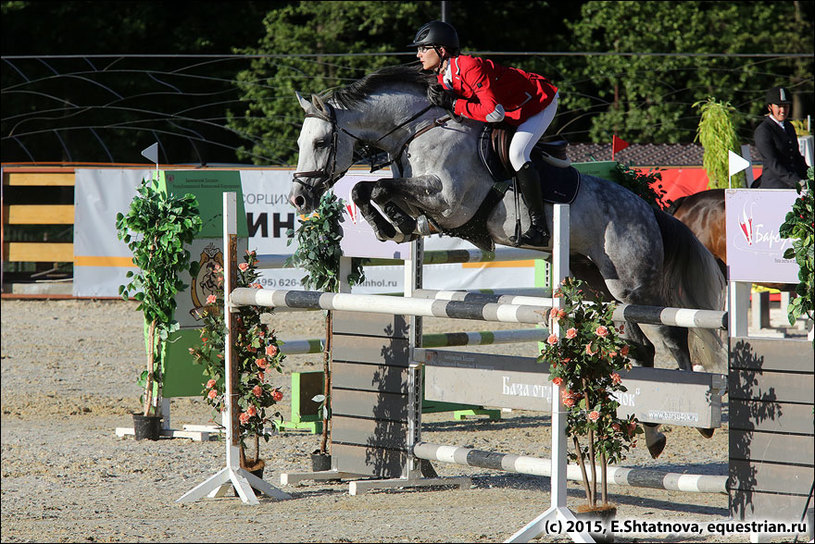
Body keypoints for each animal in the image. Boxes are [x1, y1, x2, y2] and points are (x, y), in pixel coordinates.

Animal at [288, 63, 728, 456]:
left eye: (321, 143)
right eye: (300, 144)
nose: (299, 199)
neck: (418, 131)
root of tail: (649, 211)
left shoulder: (448, 202)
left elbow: (377, 188)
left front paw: (393, 223)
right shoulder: (428, 203)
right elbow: (366, 189)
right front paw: (392, 227)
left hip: (632, 286)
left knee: (671, 335)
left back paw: (698, 422)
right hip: (599, 287)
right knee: (641, 349)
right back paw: (652, 434)